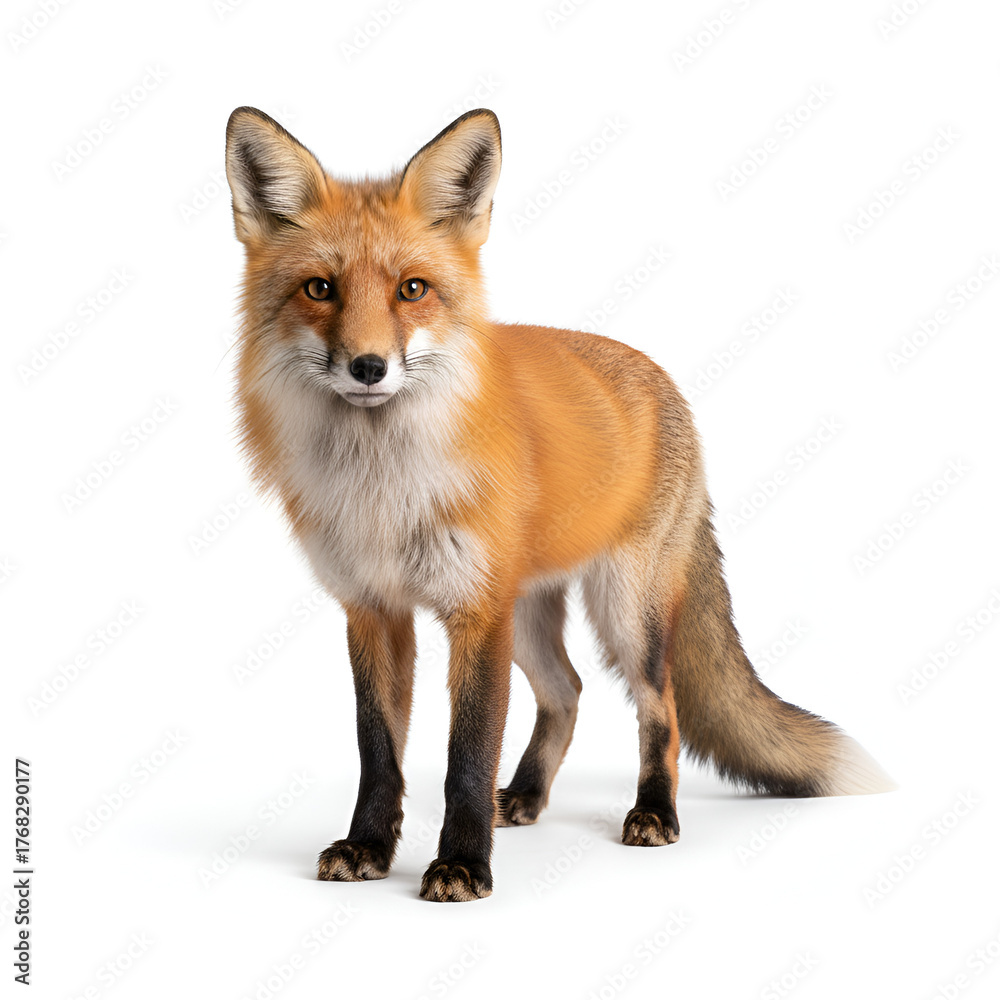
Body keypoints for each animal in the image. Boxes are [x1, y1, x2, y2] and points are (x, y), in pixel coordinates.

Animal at [224, 106, 894, 902]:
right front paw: (368, 847)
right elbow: (378, 750)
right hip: (530, 612)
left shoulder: (476, 613)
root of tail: (664, 381)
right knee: (568, 690)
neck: (383, 488)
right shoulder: (373, 608)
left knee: (661, 707)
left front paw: (462, 865)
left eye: (412, 289)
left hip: (624, 610)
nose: (368, 367)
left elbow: (466, 756)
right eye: (319, 289)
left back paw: (654, 811)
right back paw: (528, 795)